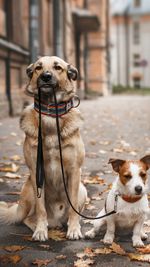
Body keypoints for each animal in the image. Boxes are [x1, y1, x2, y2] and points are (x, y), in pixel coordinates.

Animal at [0, 56, 86, 243]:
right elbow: (40, 209)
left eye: (58, 67)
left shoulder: (75, 171)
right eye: (38, 68)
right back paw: (43, 226)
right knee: (27, 218)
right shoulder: (35, 171)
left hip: (82, 189)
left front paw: (74, 229)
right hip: (30, 189)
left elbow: (73, 207)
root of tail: (56, 219)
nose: (46, 76)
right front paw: (40, 230)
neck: (51, 114)